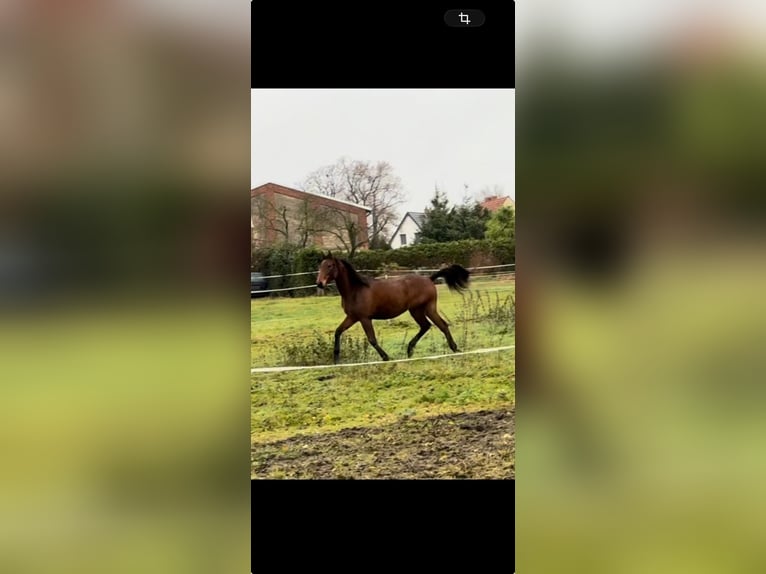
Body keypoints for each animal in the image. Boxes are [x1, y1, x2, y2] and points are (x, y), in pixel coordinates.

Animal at [315, 252, 471, 364]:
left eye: (330, 265)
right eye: (320, 266)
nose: (319, 283)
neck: (355, 290)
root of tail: (429, 279)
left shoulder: (364, 318)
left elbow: (372, 339)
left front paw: (386, 357)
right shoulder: (352, 317)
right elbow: (337, 332)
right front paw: (336, 360)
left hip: (424, 309)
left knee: (440, 325)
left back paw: (454, 348)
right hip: (419, 310)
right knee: (427, 326)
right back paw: (410, 350)